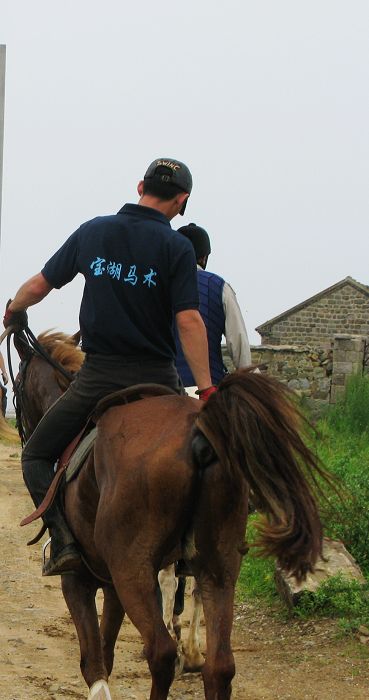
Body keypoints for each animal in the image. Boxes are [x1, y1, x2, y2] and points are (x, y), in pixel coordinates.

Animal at [12, 330, 328, 700]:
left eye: (16, 386)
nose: (24, 432)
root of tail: (200, 436)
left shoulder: (78, 581)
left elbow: (95, 665)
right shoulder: (113, 587)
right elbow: (106, 653)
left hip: (134, 571)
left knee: (161, 652)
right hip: (218, 567)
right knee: (219, 664)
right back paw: (194, 654)